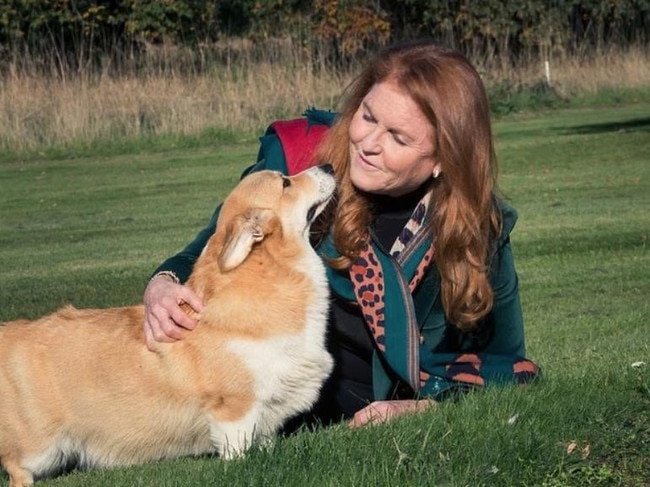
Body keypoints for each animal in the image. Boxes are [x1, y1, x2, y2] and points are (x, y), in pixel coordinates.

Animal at [0, 166, 334, 486]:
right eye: (285, 183)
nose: (329, 166)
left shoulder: (266, 414)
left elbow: (263, 442)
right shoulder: (234, 408)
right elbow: (238, 449)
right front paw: (242, 467)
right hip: (39, 449)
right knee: (16, 466)